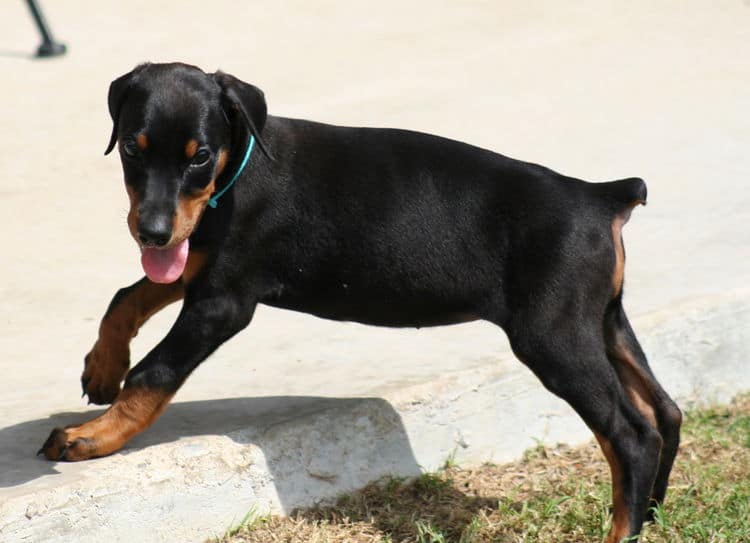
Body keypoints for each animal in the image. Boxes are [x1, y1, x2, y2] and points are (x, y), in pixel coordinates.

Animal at [39, 61, 680, 540]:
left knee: (630, 434)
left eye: (199, 156)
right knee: (664, 412)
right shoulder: (194, 260)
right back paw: (649, 515)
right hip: (601, 320)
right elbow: (125, 297)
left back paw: (622, 531)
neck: (239, 166)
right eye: (131, 147)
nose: (150, 232)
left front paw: (92, 436)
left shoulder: (222, 299)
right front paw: (102, 370)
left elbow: (155, 372)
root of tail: (600, 197)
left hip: (552, 336)